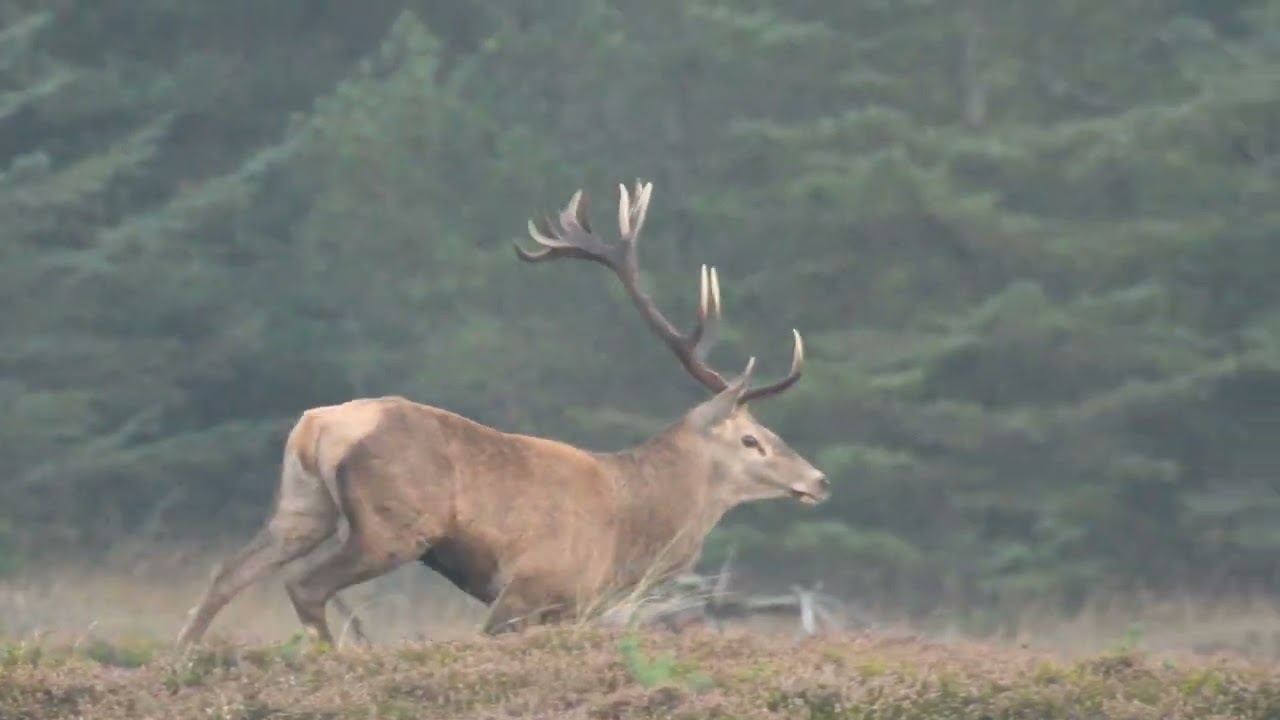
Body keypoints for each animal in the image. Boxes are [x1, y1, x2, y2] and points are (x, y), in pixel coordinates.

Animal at [174, 179, 829, 650]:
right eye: (752, 440)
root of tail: (318, 426)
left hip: (301, 505)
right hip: (392, 526)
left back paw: (182, 659)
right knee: (303, 584)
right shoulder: (528, 589)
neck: (630, 535)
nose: (819, 480)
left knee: (227, 573)